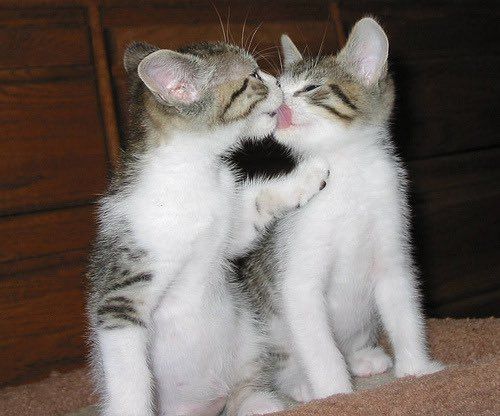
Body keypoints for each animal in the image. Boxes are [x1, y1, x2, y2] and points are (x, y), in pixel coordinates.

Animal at [87, 39, 328, 416]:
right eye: (253, 76)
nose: (277, 81)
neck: (193, 175)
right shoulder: (121, 294)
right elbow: (128, 373)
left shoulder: (228, 233)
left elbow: (257, 204)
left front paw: (307, 176)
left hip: (247, 343)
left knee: (246, 390)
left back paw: (269, 400)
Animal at [240, 17, 444, 404]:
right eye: (279, 86)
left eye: (310, 87)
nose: (280, 100)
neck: (350, 177)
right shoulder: (298, 275)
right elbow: (319, 347)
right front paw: (336, 392)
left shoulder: (392, 251)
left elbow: (404, 311)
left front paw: (417, 370)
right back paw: (300, 384)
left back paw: (362, 356)